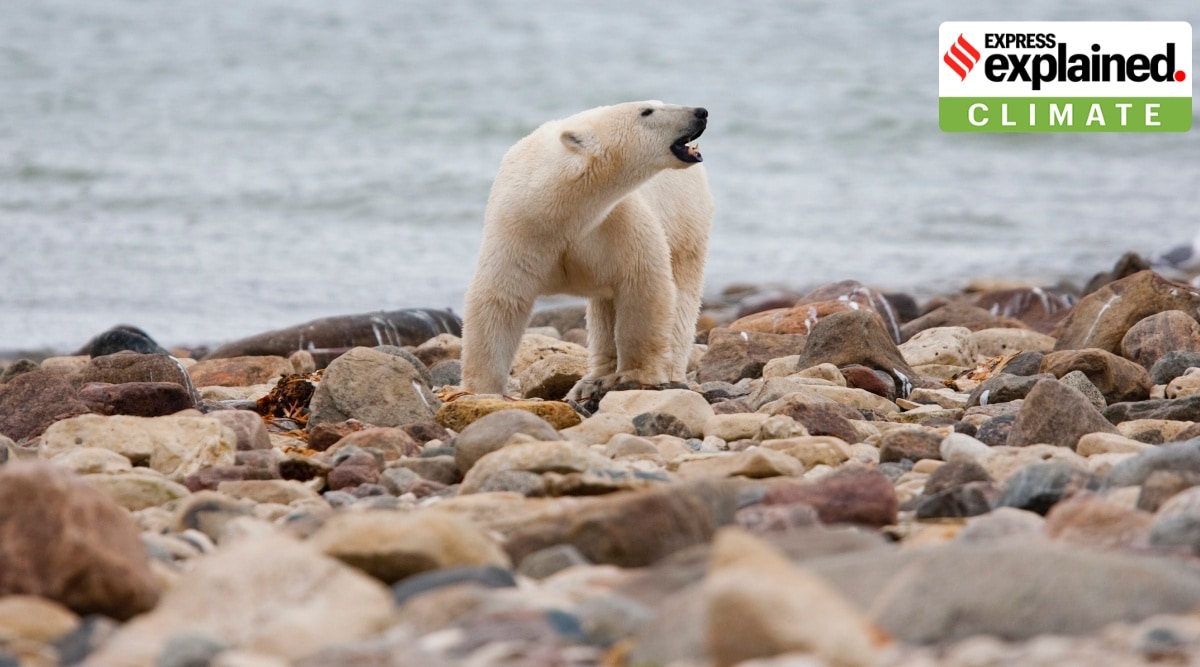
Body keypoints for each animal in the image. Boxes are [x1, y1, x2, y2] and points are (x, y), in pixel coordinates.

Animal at [461, 100, 713, 399]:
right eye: (647, 111)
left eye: (659, 103)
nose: (700, 112)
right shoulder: (519, 229)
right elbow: (500, 299)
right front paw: (481, 390)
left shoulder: (615, 222)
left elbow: (643, 284)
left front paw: (636, 374)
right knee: (603, 310)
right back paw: (591, 380)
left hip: (686, 222)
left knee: (682, 296)